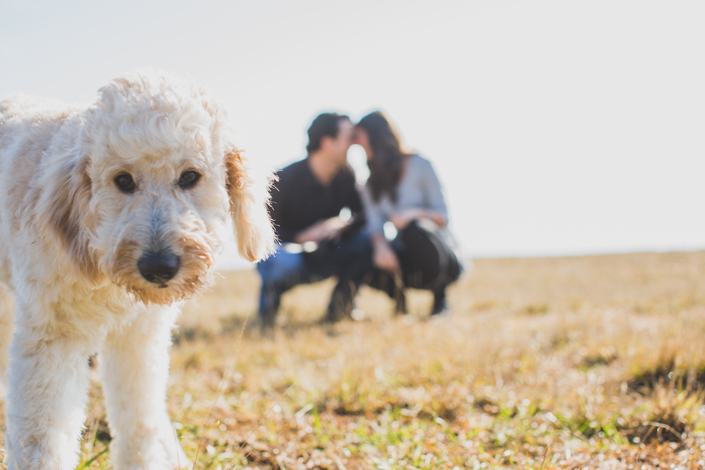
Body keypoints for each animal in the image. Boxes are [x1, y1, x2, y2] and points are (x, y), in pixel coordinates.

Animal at [0, 70, 276, 470]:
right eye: (123, 180)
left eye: (189, 177)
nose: (159, 267)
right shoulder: (51, 339)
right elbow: (41, 438)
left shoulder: (141, 334)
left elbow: (138, 415)